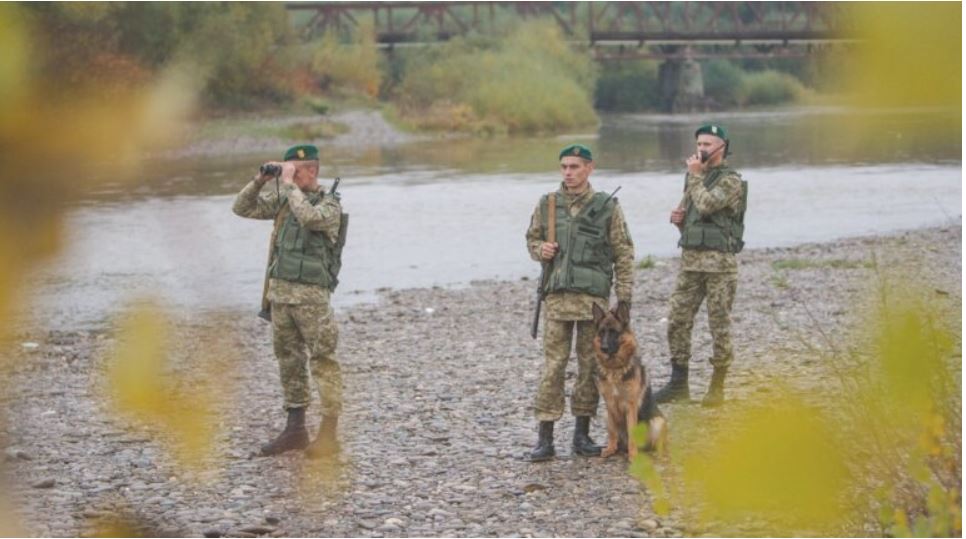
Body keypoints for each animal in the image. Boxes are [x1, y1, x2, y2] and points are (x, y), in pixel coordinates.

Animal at [592, 304, 668, 460]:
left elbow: (632, 432)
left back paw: (656, 453)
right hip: (605, 416)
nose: (604, 348)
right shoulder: (609, 404)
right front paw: (610, 448)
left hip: (658, 421)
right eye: (602, 332)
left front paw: (633, 455)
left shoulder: (630, 405)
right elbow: (612, 431)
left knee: (658, 444)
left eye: (614, 332)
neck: (615, 369)